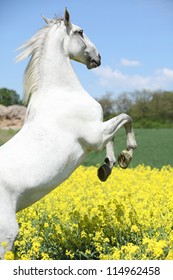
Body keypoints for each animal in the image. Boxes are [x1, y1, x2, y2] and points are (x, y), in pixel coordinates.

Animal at [0, 8, 137, 258]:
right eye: (80, 31)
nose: (98, 57)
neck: (62, 92)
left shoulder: (98, 132)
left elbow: (115, 132)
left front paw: (106, 167)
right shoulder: (95, 135)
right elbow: (125, 119)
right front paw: (126, 156)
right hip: (6, 235)